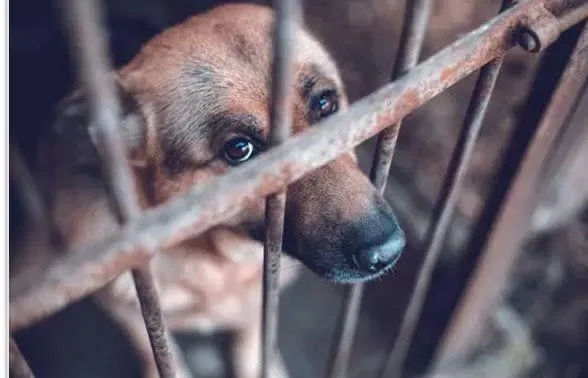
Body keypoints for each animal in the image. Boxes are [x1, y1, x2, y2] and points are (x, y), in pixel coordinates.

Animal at [18, 3, 406, 378]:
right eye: (239, 150)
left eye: (326, 105)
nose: (388, 252)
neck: (214, 262)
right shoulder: (129, 313)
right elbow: (155, 350)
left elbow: (251, 338)